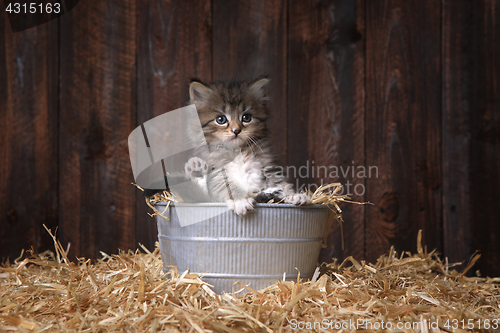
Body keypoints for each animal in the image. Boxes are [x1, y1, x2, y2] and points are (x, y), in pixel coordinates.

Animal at [186, 76, 310, 214]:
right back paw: (196, 168)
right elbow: (226, 185)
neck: (238, 151)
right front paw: (240, 200)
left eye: (246, 117)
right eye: (221, 119)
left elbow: (280, 182)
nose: (236, 130)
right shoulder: (217, 171)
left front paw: (293, 195)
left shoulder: (268, 165)